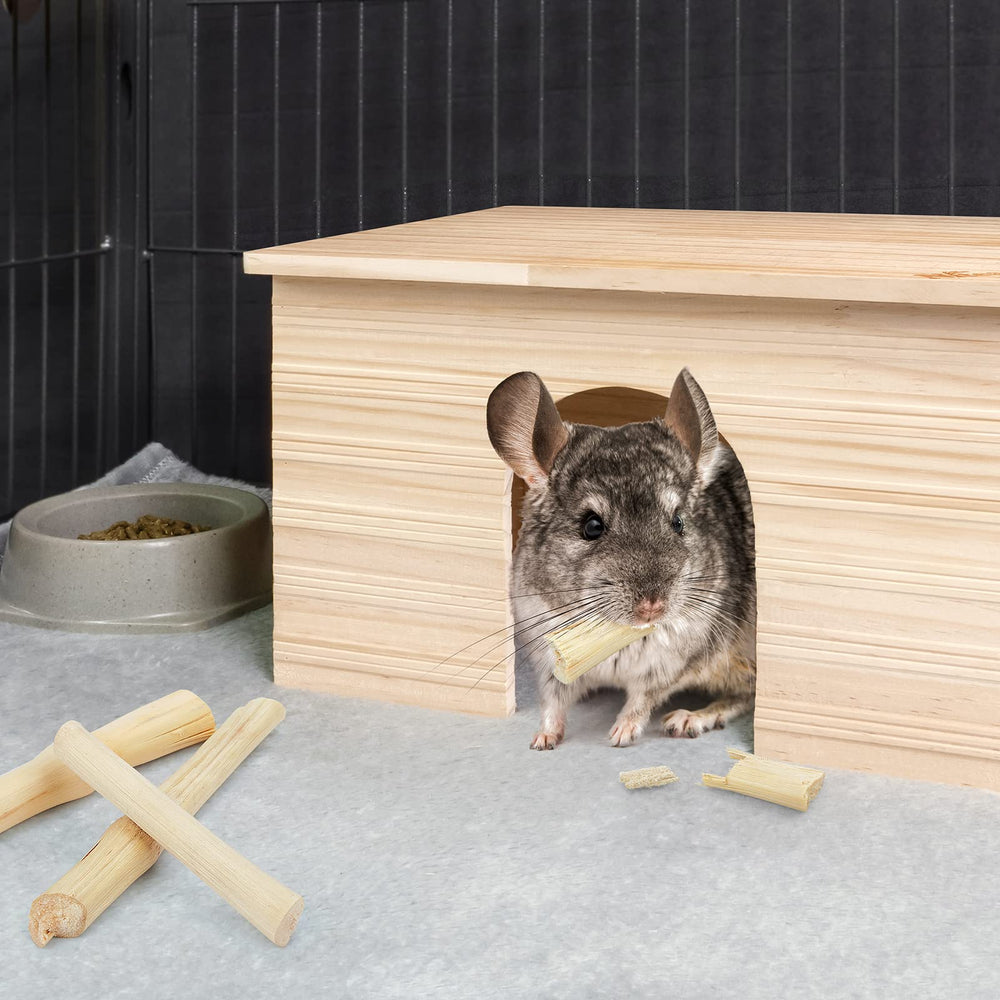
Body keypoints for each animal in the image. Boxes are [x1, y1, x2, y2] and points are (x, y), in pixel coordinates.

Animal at [486, 368, 756, 749]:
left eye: (678, 521)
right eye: (592, 526)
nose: (652, 606)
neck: (610, 632)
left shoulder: (668, 664)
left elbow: (642, 699)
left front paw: (620, 734)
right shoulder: (549, 655)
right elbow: (553, 700)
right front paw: (543, 738)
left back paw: (690, 718)